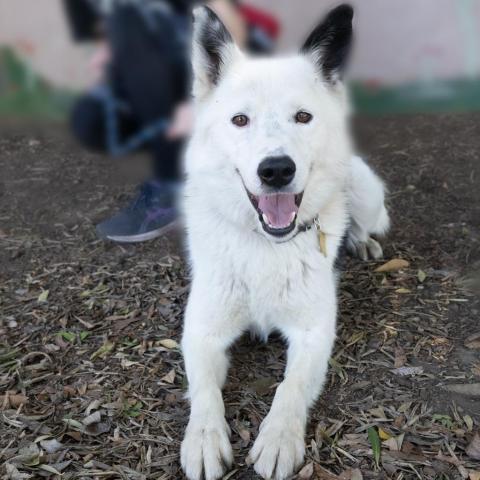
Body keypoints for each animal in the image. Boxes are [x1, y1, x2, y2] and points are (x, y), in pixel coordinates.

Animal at [181, 4, 390, 480]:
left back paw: (362, 242)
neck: (265, 247)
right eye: (240, 120)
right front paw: (203, 438)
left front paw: (278, 439)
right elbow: (204, 393)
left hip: (365, 189)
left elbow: (289, 388)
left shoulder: (314, 334)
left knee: (363, 221)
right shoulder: (201, 332)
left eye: (303, 117)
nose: (276, 170)